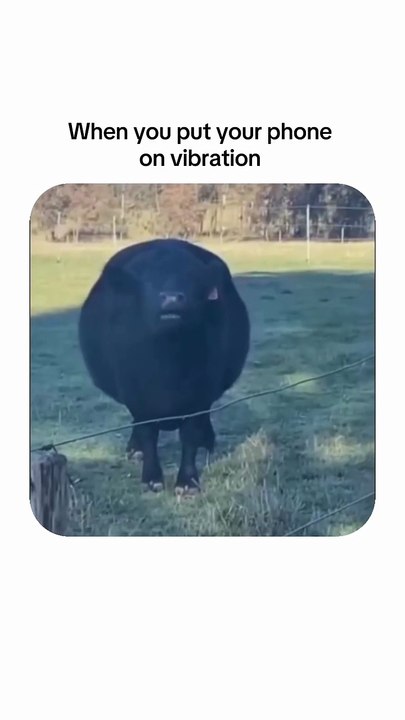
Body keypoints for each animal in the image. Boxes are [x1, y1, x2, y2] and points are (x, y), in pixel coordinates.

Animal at [78, 238, 250, 495]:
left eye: (192, 277)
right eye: (146, 280)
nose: (171, 298)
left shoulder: (200, 396)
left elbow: (190, 435)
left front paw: (188, 482)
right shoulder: (137, 397)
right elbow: (148, 434)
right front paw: (152, 478)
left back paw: (207, 442)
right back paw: (134, 450)